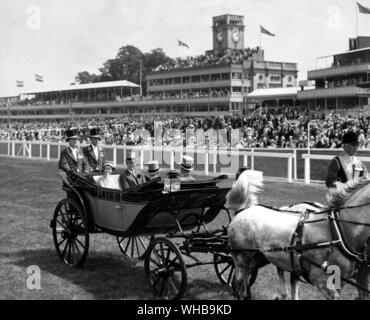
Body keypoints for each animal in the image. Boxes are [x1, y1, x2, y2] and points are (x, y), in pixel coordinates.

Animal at [227, 172, 368, 300]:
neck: (337, 230)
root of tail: (242, 210)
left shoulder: (340, 282)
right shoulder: (320, 279)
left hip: (257, 258)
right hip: (241, 259)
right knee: (238, 285)